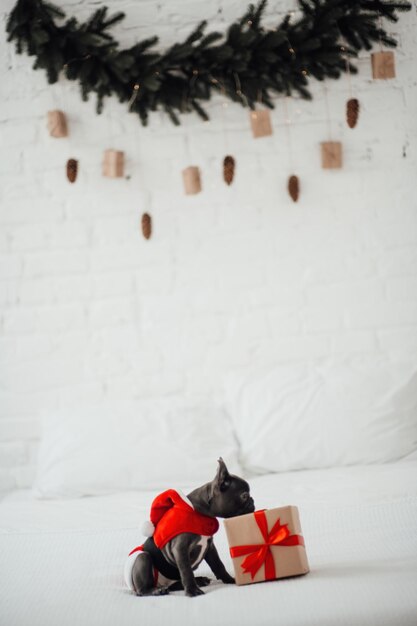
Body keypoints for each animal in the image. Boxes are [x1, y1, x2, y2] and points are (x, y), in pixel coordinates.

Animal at [131, 458, 254, 596]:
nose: (252, 501)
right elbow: (186, 571)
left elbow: (218, 565)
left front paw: (229, 579)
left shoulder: (210, 547)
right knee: (142, 587)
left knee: (175, 584)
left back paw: (199, 580)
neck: (200, 512)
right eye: (244, 496)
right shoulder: (180, 549)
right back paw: (156, 590)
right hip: (142, 559)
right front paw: (192, 590)